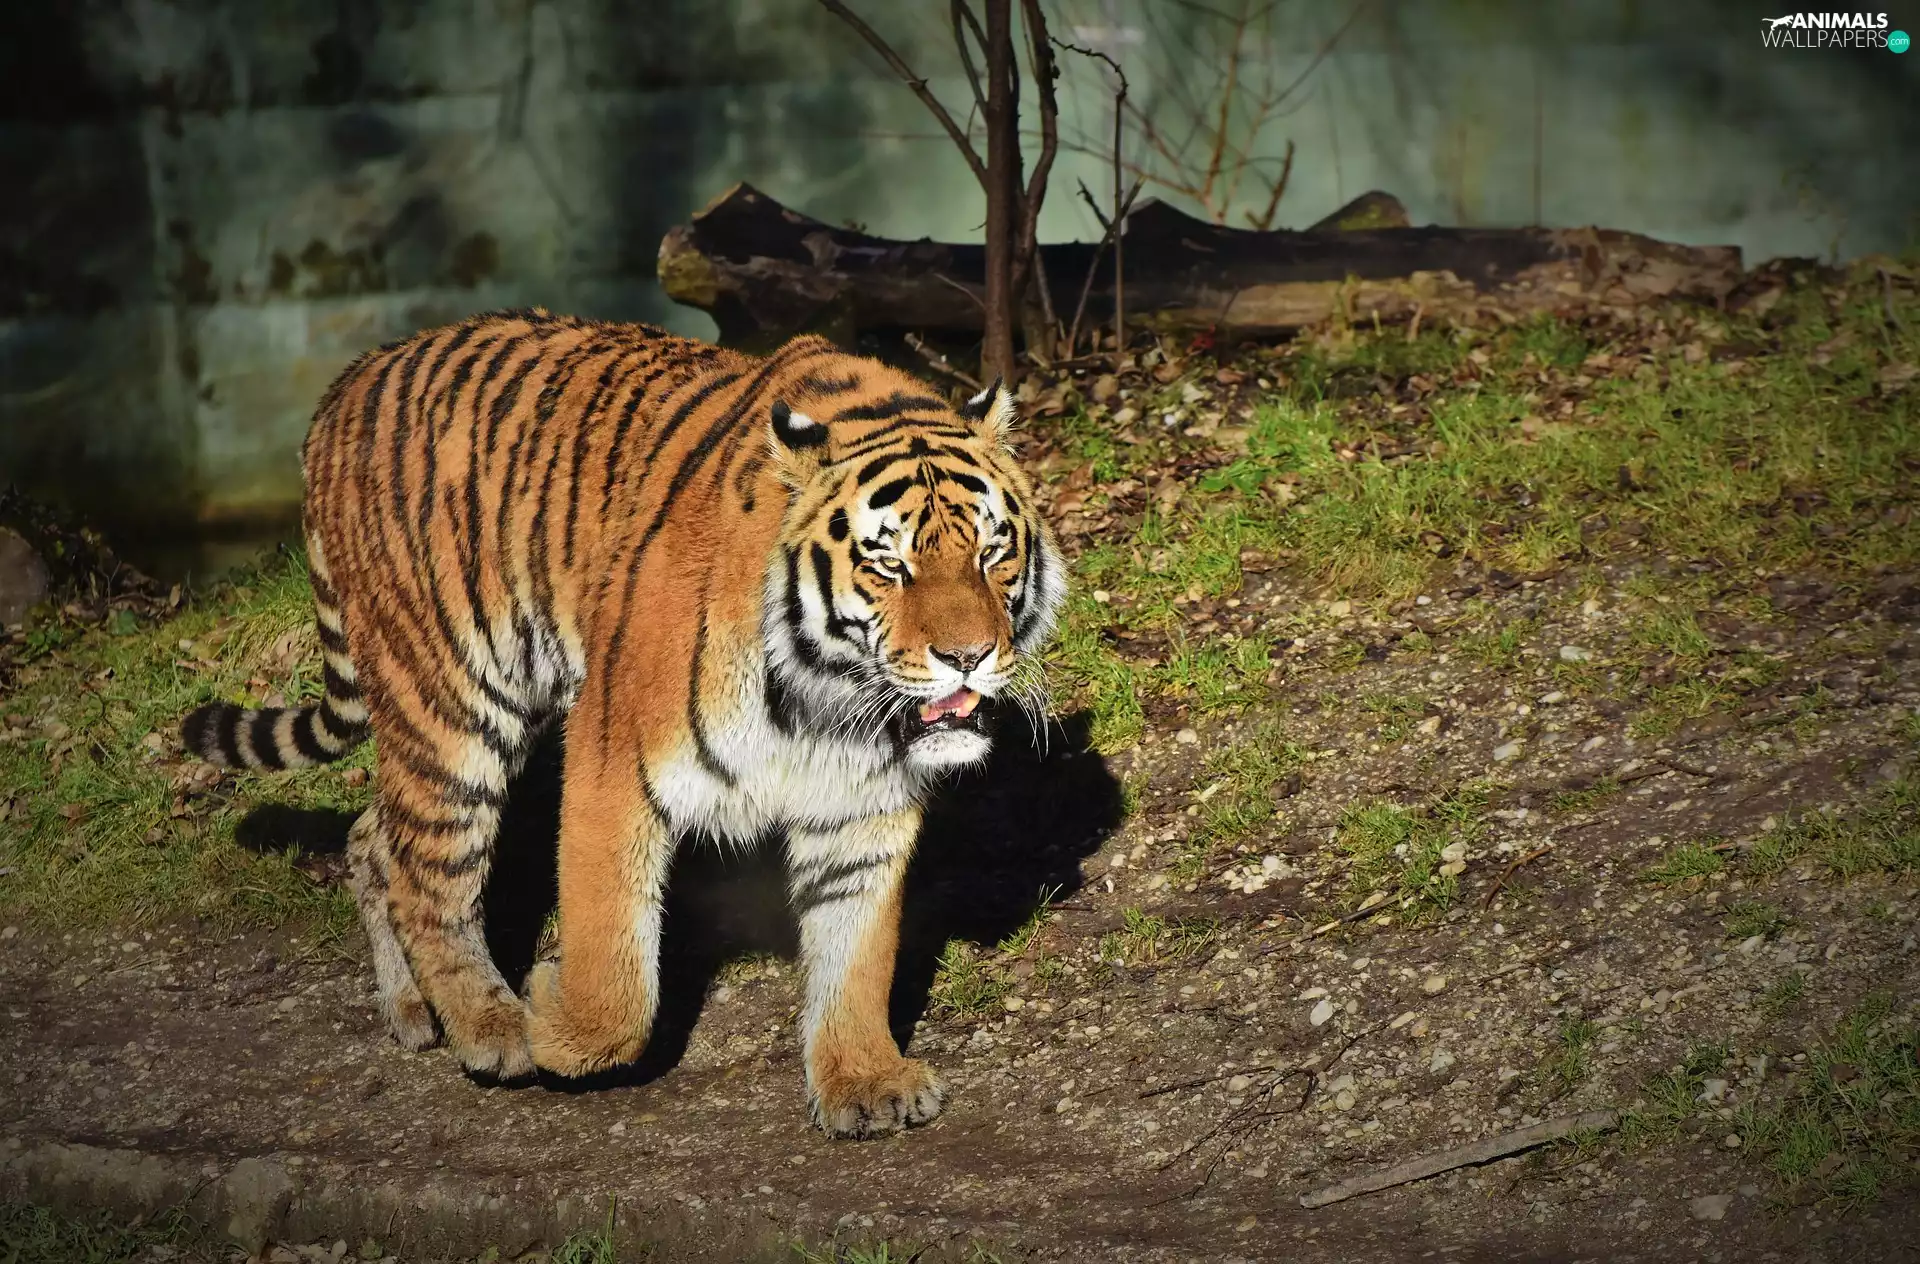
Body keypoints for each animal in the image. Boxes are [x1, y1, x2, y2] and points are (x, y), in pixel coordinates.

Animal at [179, 309, 1065, 1138]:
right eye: (889, 564)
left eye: (993, 552)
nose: (967, 656)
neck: (826, 696)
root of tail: (351, 379)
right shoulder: (614, 758)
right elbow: (617, 976)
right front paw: (550, 1014)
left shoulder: (862, 804)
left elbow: (857, 954)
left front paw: (863, 1080)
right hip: (452, 705)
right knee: (430, 877)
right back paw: (490, 1026)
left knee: (375, 837)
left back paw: (412, 1010)